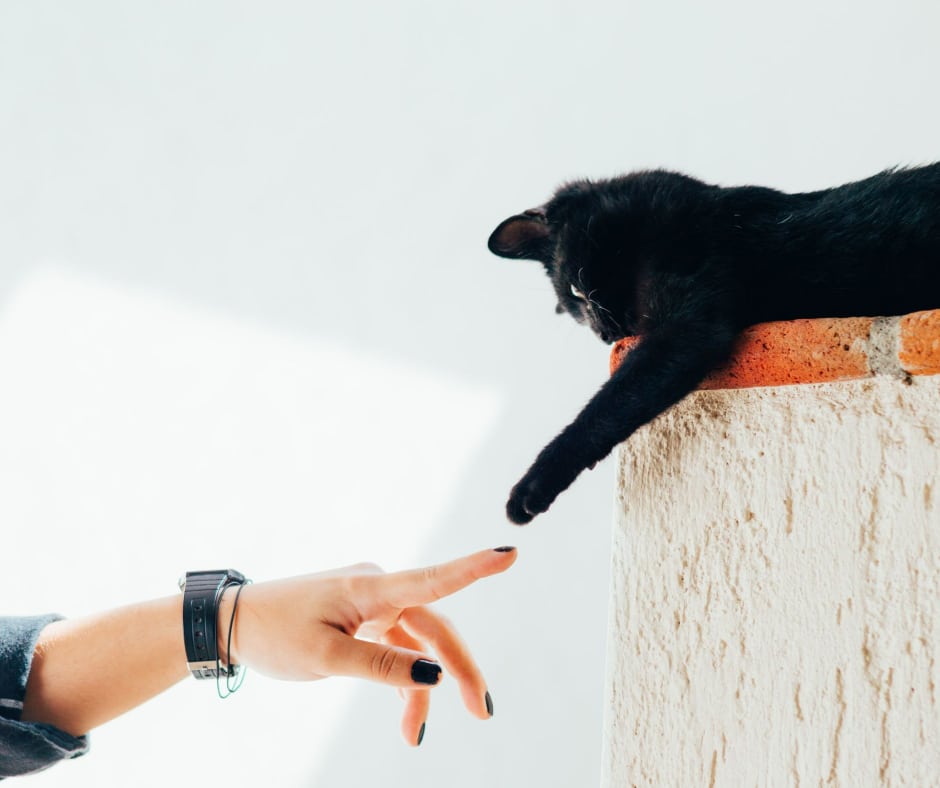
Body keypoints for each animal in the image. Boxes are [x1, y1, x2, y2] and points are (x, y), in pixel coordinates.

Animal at [488, 162, 940, 524]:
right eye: (574, 311)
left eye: (578, 293)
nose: (604, 336)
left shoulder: (688, 327)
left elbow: (606, 408)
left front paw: (531, 488)